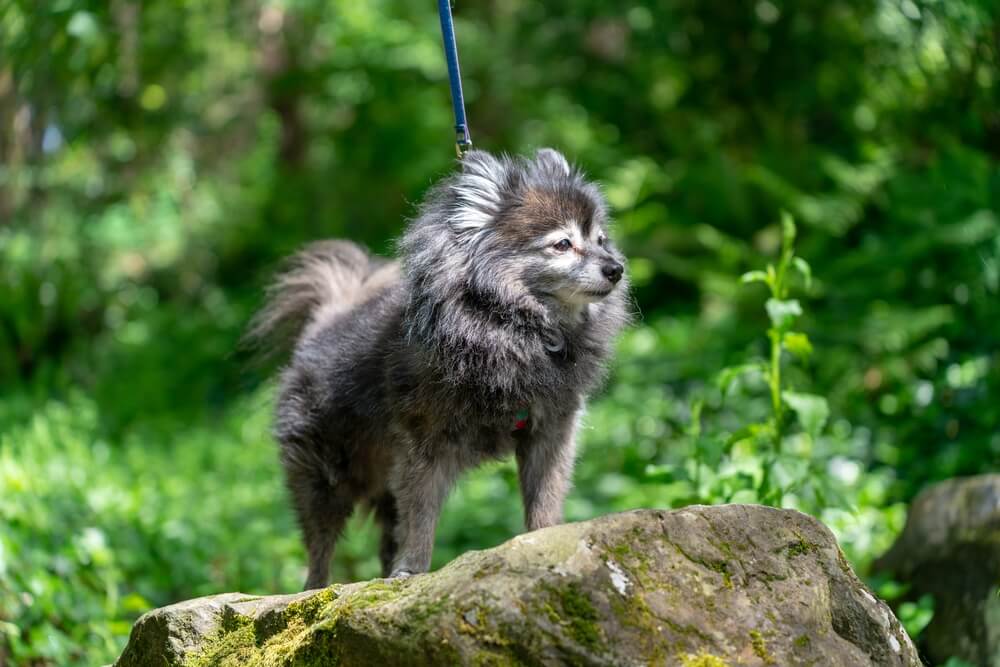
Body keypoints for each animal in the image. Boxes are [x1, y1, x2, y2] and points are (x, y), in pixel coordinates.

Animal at [250, 149, 624, 588]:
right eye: (563, 244)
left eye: (600, 240)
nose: (616, 268)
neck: (511, 324)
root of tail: (324, 323)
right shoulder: (425, 443)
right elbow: (422, 516)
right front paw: (413, 569)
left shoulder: (549, 430)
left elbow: (543, 500)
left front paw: (545, 543)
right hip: (326, 476)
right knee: (321, 544)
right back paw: (316, 589)